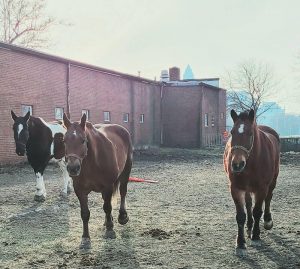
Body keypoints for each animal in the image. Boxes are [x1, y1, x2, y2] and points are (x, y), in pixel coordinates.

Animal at [63, 112, 132, 248]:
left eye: (83, 140)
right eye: (64, 140)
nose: (73, 168)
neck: (93, 162)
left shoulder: (108, 186)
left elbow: (107, 207)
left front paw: (110, 230)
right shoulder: (80, 190)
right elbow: (85, 213)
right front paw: (85, 238)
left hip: (126, 172)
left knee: (122, 192)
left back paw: (121, 216)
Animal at [224, 108, 280, 253]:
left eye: (250, 133)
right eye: (232, 132)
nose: (237, 164)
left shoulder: (262, 188)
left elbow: (257, 211)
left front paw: (256, 236)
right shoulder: (236, 188)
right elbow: (241, 215)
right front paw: (240, 242)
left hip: (273, 180)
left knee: (268, 198)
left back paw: (267, 221)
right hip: (247, 187)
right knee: (249, 204)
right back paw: (249, 227)